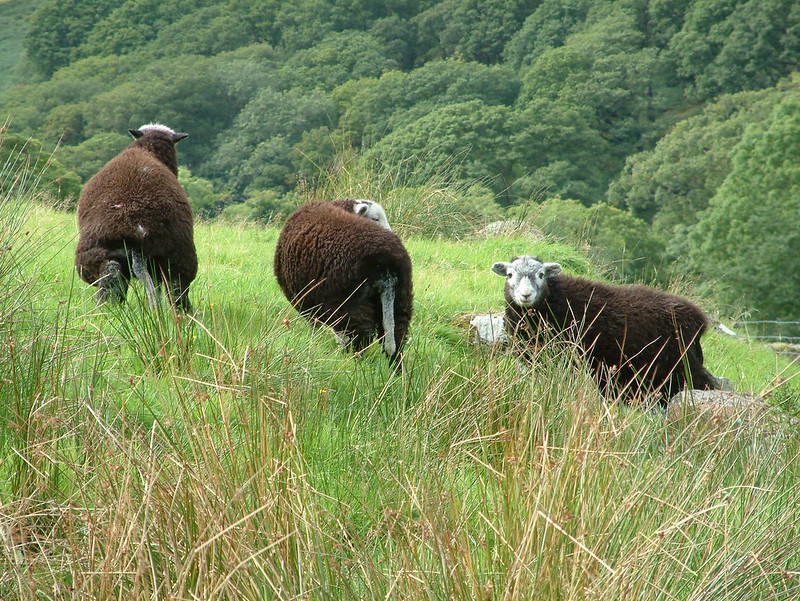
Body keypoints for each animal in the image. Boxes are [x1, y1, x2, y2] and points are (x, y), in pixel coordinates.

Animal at [74, 122, 197, 310]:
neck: (148, 150)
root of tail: (136, 228)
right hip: (175, 259)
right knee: (176, 289)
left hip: (97, 254)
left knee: (112, 276)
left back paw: (105, 310)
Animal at [274, 200, 412, 366]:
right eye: (375, 218)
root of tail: (387, 264)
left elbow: (319, 327)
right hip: (400, 299)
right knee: (397, 337)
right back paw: (395, 369)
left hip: (349, 304)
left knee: (359, 338)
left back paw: (352, 364)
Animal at [494, 254, 720, 404]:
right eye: (510, 274)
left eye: (541, 275)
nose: (526, 295)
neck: (553, 302)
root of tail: (698, 320)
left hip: (680, 367)